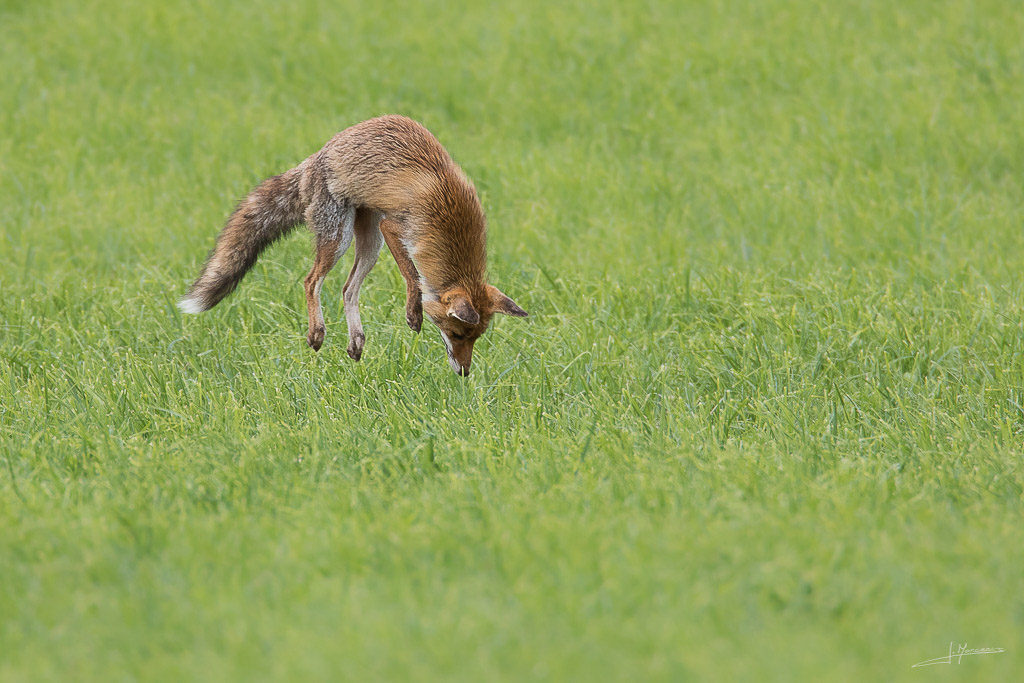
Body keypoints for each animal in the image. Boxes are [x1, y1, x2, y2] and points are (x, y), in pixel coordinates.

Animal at [178, 115, 527, 376]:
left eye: (476, 338)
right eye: (455, 334)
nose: (465, 373)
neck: (448, 215)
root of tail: (315, 157)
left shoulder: (391, 233)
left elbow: (410, 277)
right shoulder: (395, 227)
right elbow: (413, 275)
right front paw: (413, 312)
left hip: (370, 243)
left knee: (348, 289)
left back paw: (356, 342)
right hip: (341, 237)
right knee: (311, 281)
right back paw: (316, 333)